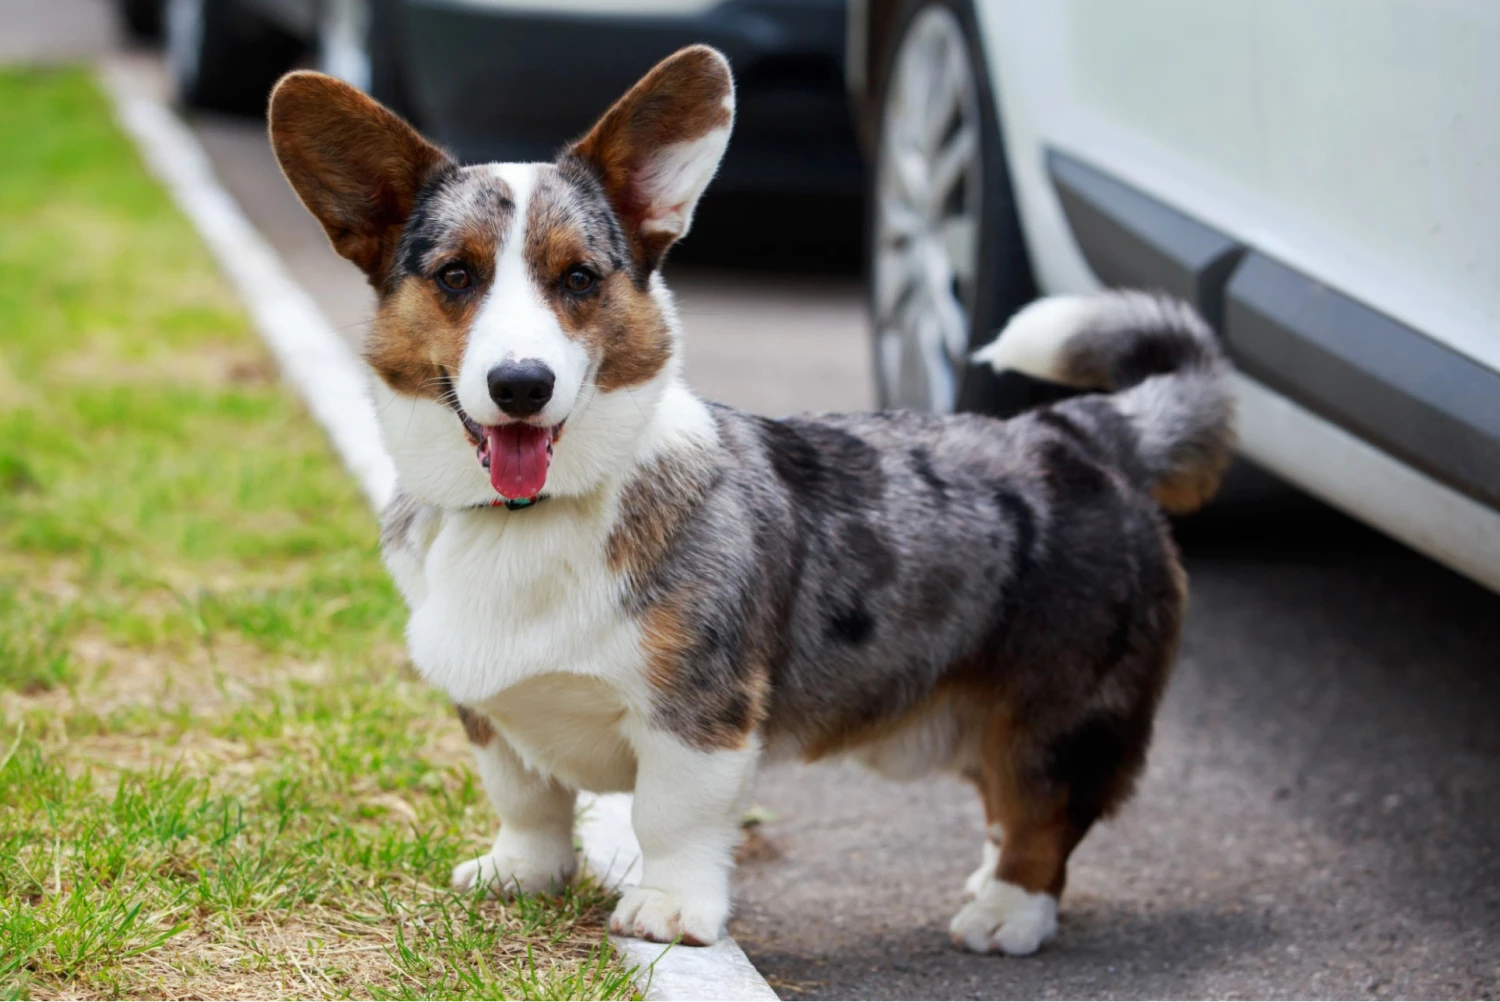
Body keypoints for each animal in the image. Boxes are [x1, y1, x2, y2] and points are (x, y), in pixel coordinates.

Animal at [267, 45, 1230, 954]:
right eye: (456, 277)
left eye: (578, 279)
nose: (521, 386)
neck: (532, 520)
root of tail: (1084, 431)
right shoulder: (491, 713)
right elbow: (527, 801)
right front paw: (520, 874)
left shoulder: (699, 716)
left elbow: (670, 817)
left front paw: (669, 911)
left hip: (1057, 713)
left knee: (1042, 812)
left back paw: (1007, 912)